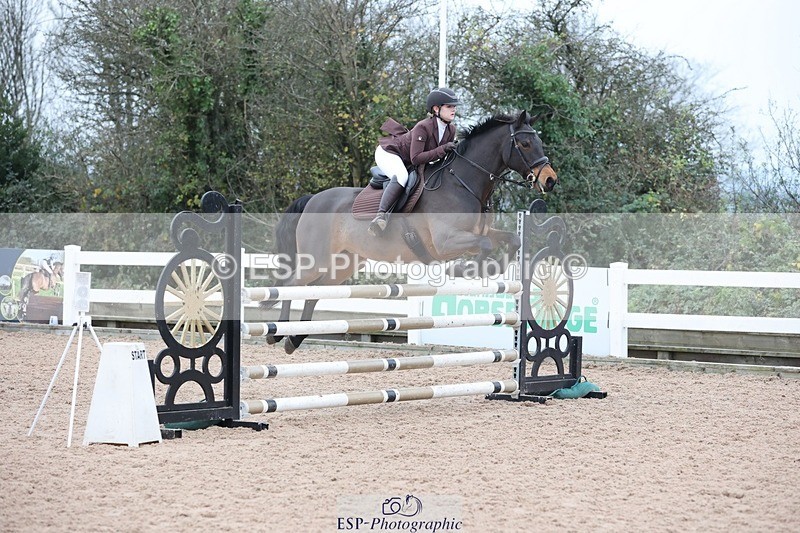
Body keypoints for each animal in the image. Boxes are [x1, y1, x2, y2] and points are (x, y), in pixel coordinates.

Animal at [267, 110, 558, 353]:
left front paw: (492, 269)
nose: (550, 180)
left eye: (539, 143)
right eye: (525, 144)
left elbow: (512, 239)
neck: (463, 183)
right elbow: (484, 245)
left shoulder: (480, 233)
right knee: (291, 285)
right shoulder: (445, 242)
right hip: (317, 259)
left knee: (313, 291)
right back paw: (276, 334)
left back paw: (295, 339)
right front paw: (464, 270)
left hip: (344, 263)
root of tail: (313, 199)